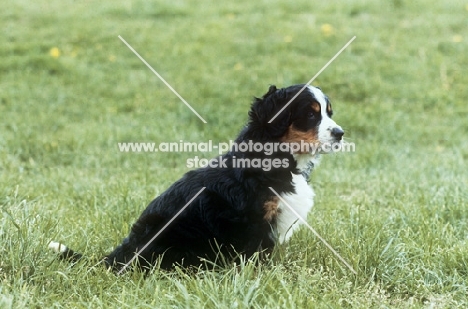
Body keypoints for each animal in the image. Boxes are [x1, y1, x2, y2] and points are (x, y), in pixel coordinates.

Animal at [50, 83, 344, 270]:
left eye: (329, 112)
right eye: (310, 115)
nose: (340, 133)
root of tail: (116, 257)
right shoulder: (253, 221)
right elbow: (255, 256)